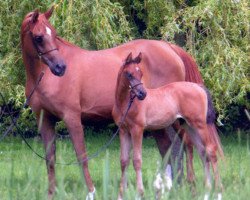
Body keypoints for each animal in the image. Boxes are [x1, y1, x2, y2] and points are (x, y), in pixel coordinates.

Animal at [112, 52, 224, 199]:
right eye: (129, 74)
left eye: (141, 73)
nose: (143, 94)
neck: (125, 104)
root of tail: (198, 87)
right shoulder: (124, 131)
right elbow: (124, 161)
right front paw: (121, 195)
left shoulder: (137, 130)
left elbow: (137, 160)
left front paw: (140, 193)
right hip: (189, 126)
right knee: (202, 151)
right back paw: (207, 189)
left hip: (200, 125)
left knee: (211, 149)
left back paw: (218, 190)